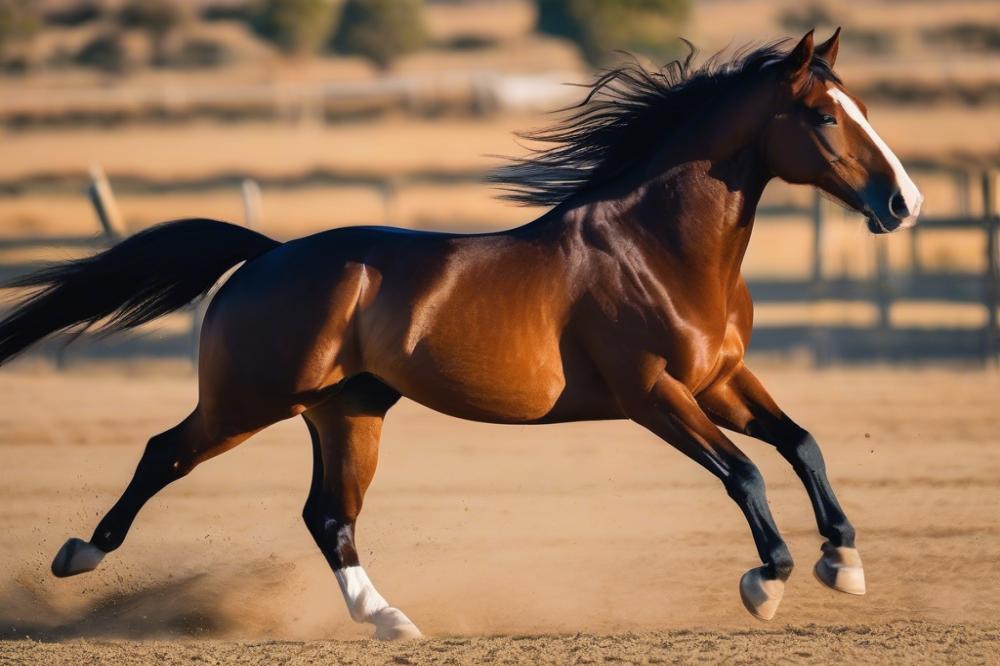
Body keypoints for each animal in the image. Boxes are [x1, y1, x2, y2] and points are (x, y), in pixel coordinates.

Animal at [0, 29, 921, 638]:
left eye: (861, 106)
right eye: (824, 116)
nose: (903, 203)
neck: (659, 249)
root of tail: (268, 254)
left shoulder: (719, 381)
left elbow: (800, 444)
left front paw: (844, 563)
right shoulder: (654, 394)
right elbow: (746, 473)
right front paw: (768, 580)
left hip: (348, 411)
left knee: (328, 516)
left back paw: (389, 620)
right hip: (249, 400)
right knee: (166, 453)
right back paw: (78, 556)